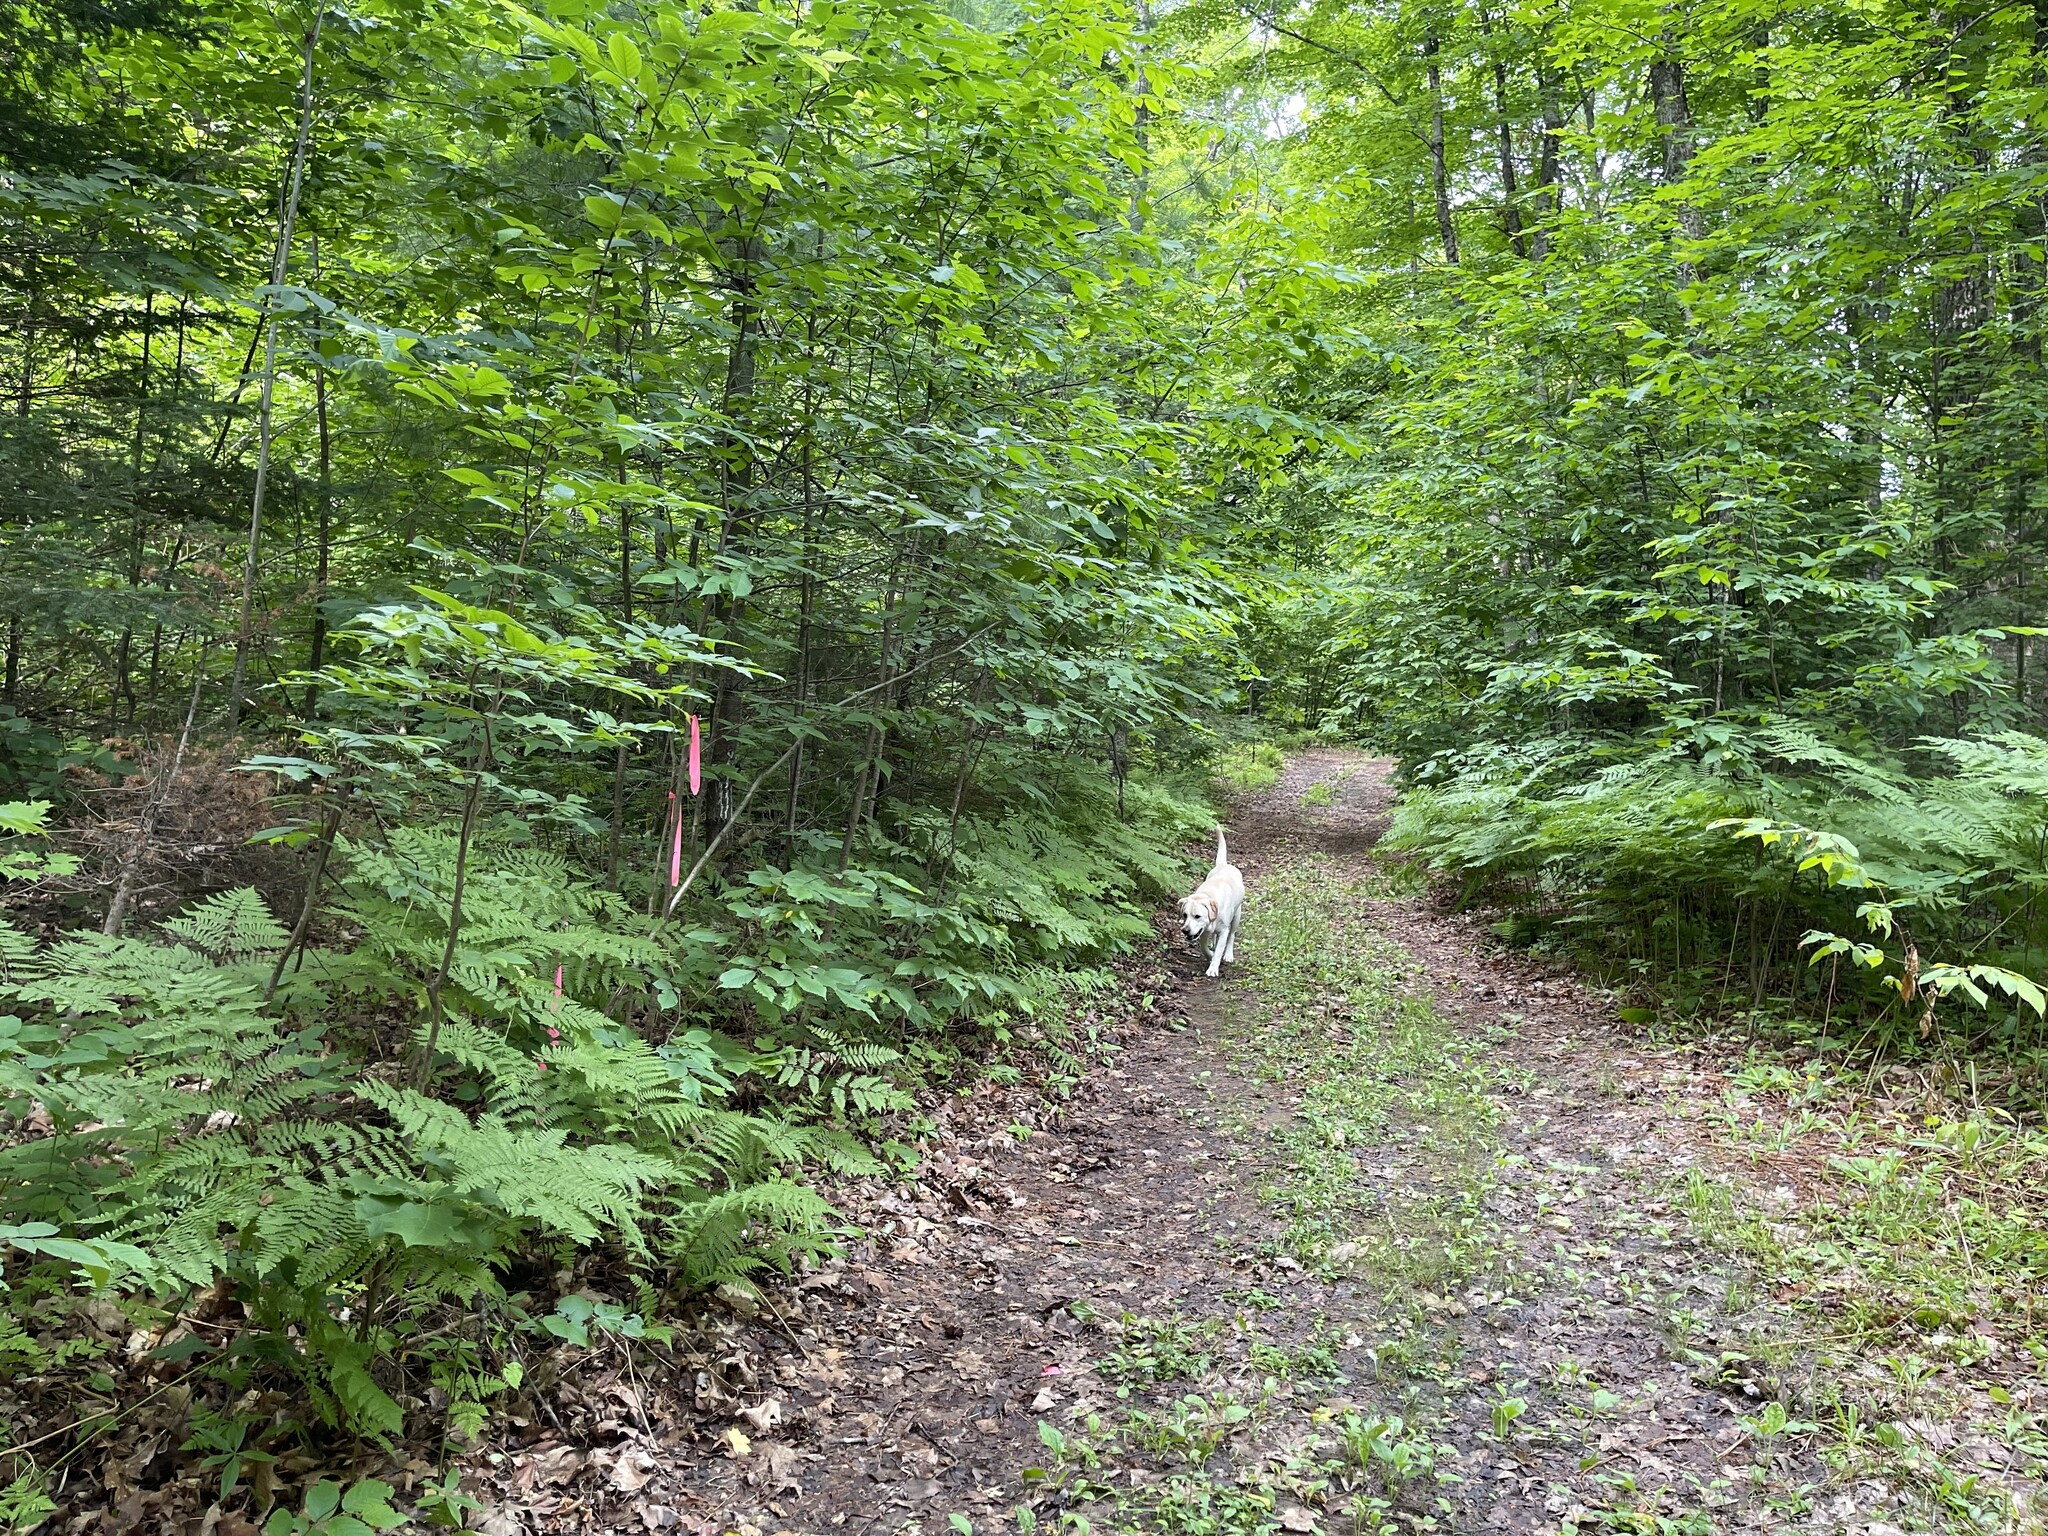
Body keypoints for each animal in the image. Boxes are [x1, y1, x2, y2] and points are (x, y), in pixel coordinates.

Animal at [1179, 835, 1236, 978]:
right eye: (1185, 915)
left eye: (1197, 916)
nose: (1185, 930)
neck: (1208, 895)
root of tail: (1223, 864)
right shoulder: (1203, 931)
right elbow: (1204, 948)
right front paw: (1210, 954)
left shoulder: (1224, 930)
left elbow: (1220, 949)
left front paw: (1213, 968)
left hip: (1237, 916)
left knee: (1232, 935)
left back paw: (1228, 954)